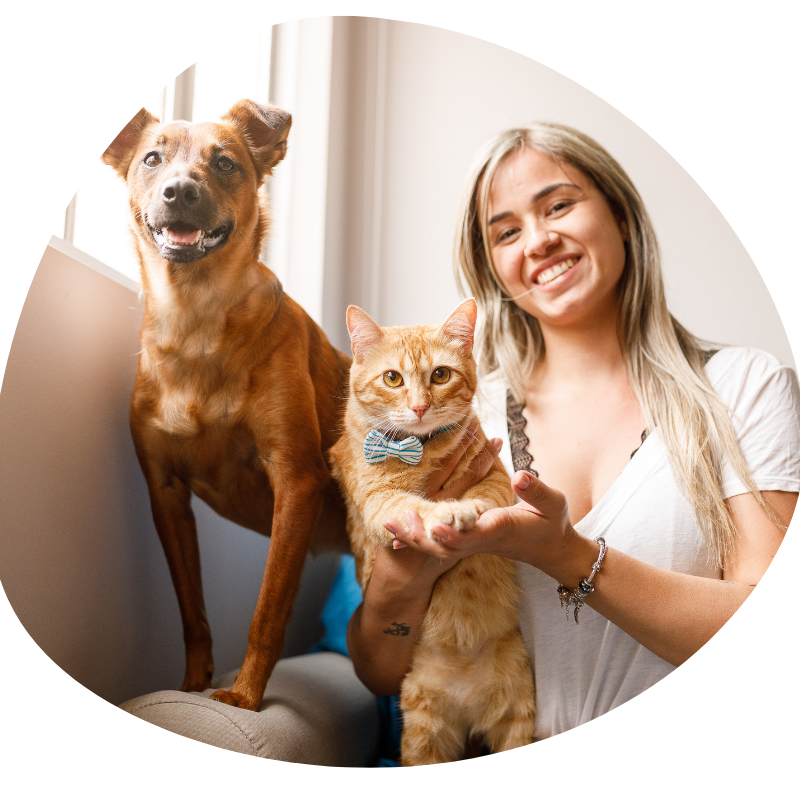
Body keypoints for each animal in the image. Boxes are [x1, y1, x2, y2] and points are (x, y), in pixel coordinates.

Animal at [101, 101, 350, 712]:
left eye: (225, 163)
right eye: (152, 158)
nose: (180, 191)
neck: (195, 321)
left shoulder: (296, 479)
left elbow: (267, 609)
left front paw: (243, 695)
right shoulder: (166, 494)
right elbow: (192, 612)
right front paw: (192, 686)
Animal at [328, 298, 536, 764]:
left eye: (440, 375)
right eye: (392, 378)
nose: (420, 407)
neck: (421, 449)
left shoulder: (496, 478)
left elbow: (485, 498)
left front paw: (465, 510)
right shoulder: (380, 503)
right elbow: (414, 508)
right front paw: (444, 515)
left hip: (516, 716)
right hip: (425, 730)